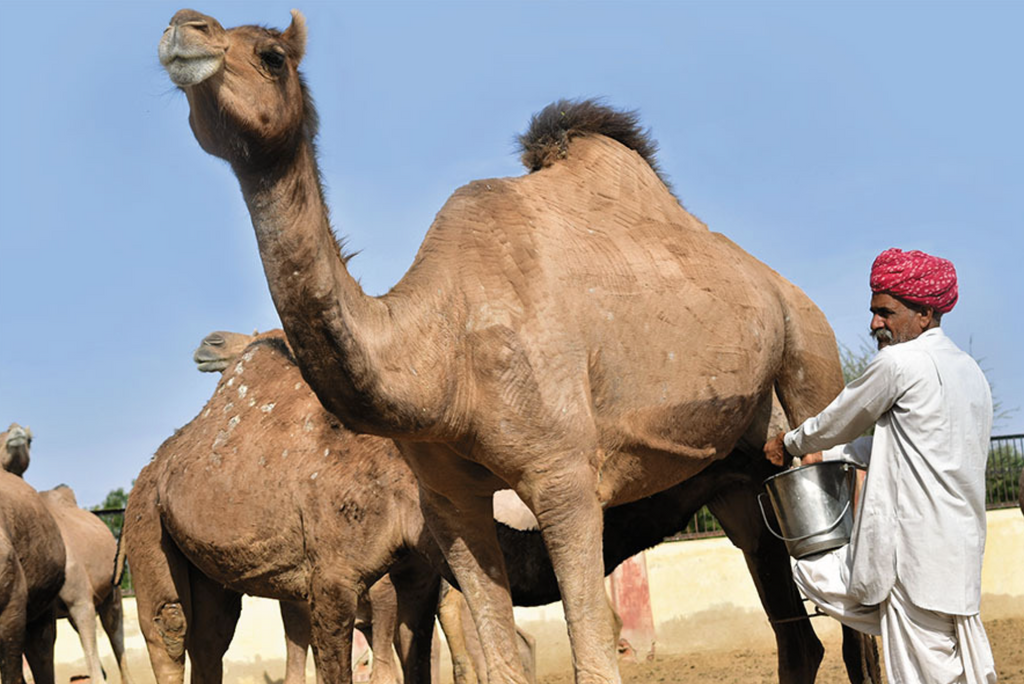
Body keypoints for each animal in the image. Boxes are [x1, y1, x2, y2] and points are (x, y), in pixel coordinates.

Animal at [163, 12, 868, 684]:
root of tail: (786, 291)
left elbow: (594, 659)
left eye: (271, 55)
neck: (439, 359)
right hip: (739, 477)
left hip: (812, 360)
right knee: (797, 634)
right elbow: (498, 661)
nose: (183, 27)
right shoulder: (450, 505)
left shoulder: (565, 479)